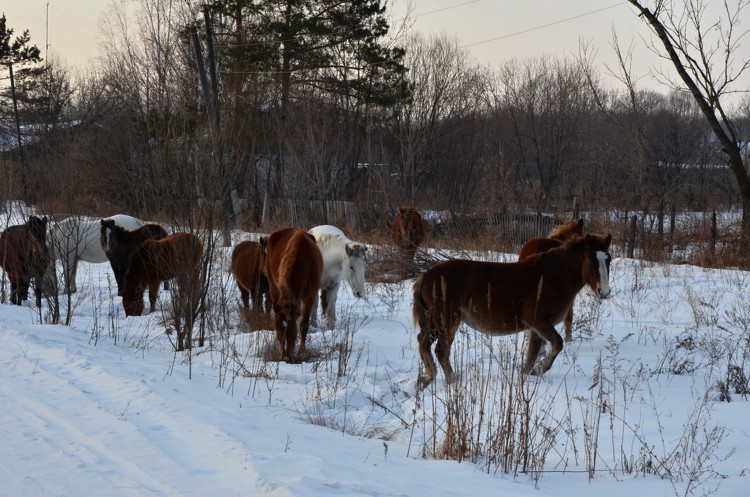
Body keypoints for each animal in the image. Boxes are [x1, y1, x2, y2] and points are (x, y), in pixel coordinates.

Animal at [262, 228, 324, 360]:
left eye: (291, 330)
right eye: (278, 330)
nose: (285, 357)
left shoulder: (310, 296)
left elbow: (304, 324)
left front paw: (302, 351)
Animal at [414, 232, 612, 388]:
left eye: (608, 259)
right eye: (591, 260)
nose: (604, 292)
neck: (551, 278)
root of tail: (426, 275)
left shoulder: (536, 329)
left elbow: (532, 354)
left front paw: (525, 376)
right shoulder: (539, 322)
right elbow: (557, 343)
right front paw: (540, 369)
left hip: (434, 323)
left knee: (424, 344)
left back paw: (429, 376)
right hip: (447, 322)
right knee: (441, 351)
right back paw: (452, 381)